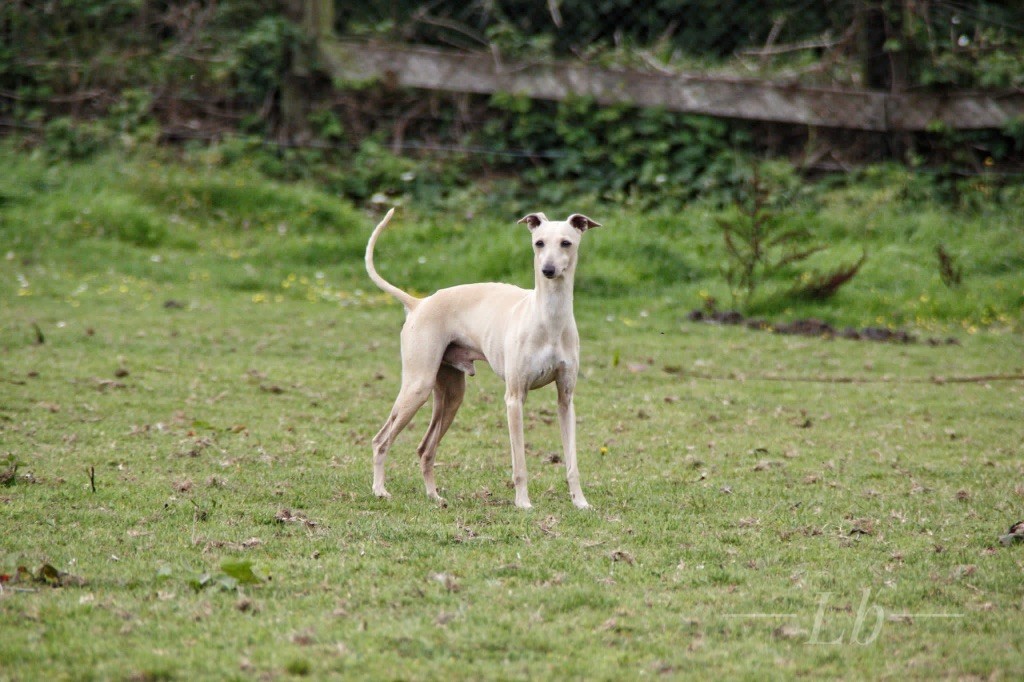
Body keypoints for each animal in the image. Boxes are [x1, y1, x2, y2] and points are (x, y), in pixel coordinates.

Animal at [364, 205, 598, 503]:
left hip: (451, 395)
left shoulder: (565, 399)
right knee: (380, 440)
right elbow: (520, 464)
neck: (548, 318)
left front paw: (580, 502)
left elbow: (572, 462)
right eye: (539, 243)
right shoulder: (514, 399)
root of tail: (418, 303)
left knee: (425, 449)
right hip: (418, 386)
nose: (548, 270)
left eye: (566, 243)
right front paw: (523, 503)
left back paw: (434, 496)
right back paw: (380, 489)